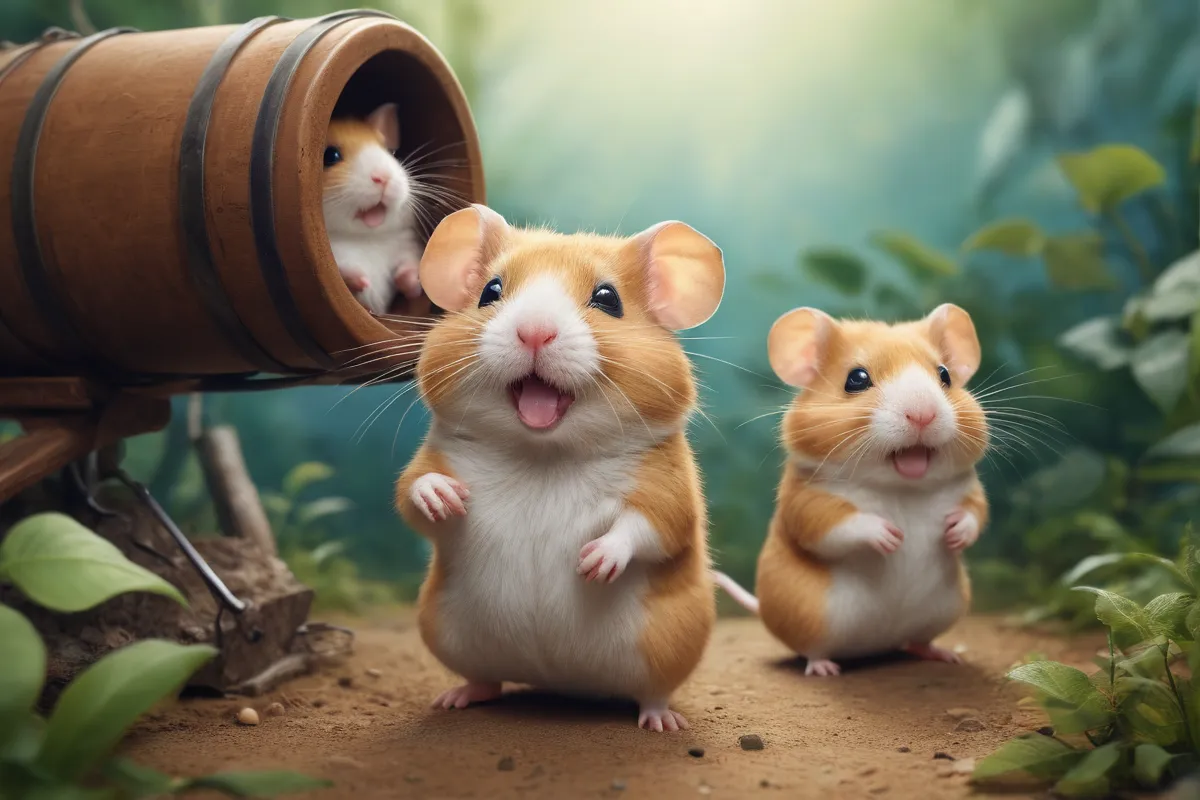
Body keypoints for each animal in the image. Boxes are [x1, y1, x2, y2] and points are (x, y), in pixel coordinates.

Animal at [321, 102, 424, 316]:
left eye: (391, 152)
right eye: (330, 156)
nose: (384, 178)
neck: (365, 236)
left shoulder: (406, 245)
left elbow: (409, 265)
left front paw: (410, 285)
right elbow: (345, 270)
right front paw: (362, 282)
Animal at [395, 204, 726, 731]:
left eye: (608, 299)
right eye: (490, 291)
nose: (533, 330)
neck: (544, 455)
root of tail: (565, 683)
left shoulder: (668, 491)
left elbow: (646, 527)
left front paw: (593, 563)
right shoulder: (437, 454)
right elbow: (412, 490)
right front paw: (443, 498)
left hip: (673, 644)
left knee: (654, 692)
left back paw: (661, 721)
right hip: (446, 630)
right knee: (485, 679)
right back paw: (456, 697)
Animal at [715, 305, 989, 676]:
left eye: (944, 375)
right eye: (856, 379)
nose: (923, 415)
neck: (900, 486)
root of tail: (878, 644)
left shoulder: (968, 488)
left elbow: (974, 513)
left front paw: (953, 533)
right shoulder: (808, 502)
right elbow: (842, 524)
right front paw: (892, 537)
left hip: (944, 608)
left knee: (918, 641)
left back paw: (943, 654)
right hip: (811, 616)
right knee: (812, 649)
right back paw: (824, 669)